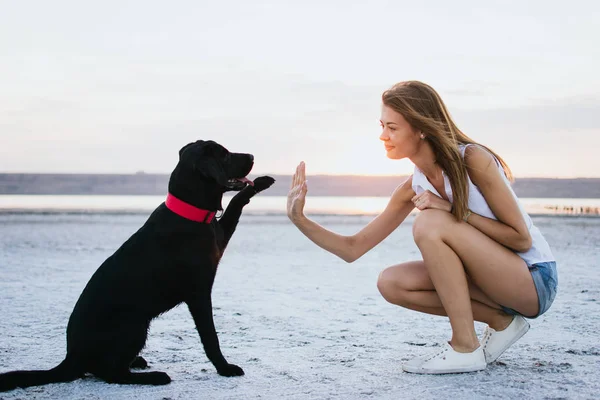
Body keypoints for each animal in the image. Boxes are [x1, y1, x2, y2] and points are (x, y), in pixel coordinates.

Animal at [0, 138, 276, 390]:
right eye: (225, 154)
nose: (252, 156)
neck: (189, 212)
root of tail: (71, 357)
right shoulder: (198, 293)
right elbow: (210, 337)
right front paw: (225, 368)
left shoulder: (220, 235)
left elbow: (236, 203)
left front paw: (261, 182)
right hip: (134, 323)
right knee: (111, 374)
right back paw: (155, 377)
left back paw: (138, 362)